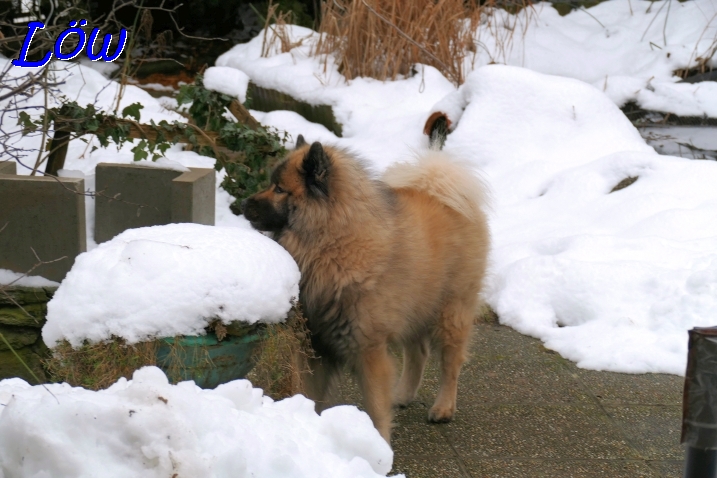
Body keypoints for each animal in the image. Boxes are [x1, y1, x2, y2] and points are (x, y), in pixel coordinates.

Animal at [243, 135, 490, 444]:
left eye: (279, 189)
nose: (243, 204)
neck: (333, 243)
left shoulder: (368, 350)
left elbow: (375, 407)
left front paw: (380, 444)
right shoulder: (314, 346)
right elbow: (309, 395)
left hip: (450, 313)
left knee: (450, 363)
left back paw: (443, 407)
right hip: (415, 307)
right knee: (418, 353)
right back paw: (402, 395)